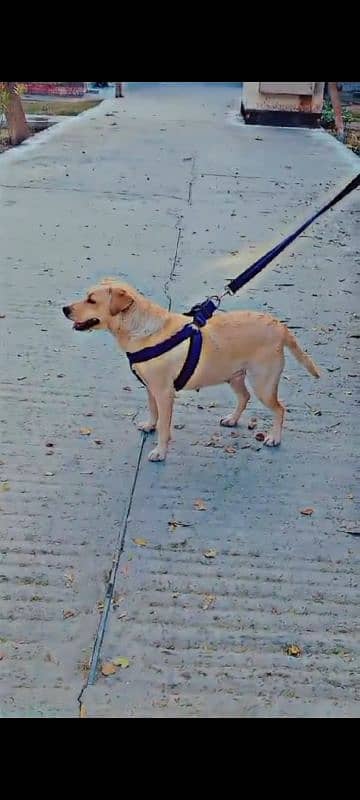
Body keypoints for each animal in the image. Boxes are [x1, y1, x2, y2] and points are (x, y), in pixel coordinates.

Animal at [63, 278, 320, 460]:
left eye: (91, 300)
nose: (65, 309)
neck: (142, 330)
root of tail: (279, 326)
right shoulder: (151, 389)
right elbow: (153, 412)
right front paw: (150, 425)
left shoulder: (164, 393)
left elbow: (164, 426)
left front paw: (160, 452)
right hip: (235, 376)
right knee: (244, 397)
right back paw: (232, 419)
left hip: (263, 384)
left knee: (279, 409)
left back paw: (274, 437)